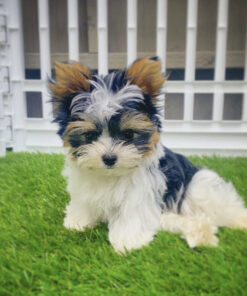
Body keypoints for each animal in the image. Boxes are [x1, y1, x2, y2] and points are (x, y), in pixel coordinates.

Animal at [48, 57, 247, 252]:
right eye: (90, 136)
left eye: (128, 135)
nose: (109, 158)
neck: (111, 175)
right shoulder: (84, 187)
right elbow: (84, 203)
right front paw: (78, 221)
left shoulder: (139, 192)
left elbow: (132, 213)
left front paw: (127, 241)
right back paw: (200, 234)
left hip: (200, 187)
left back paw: (237, 222)